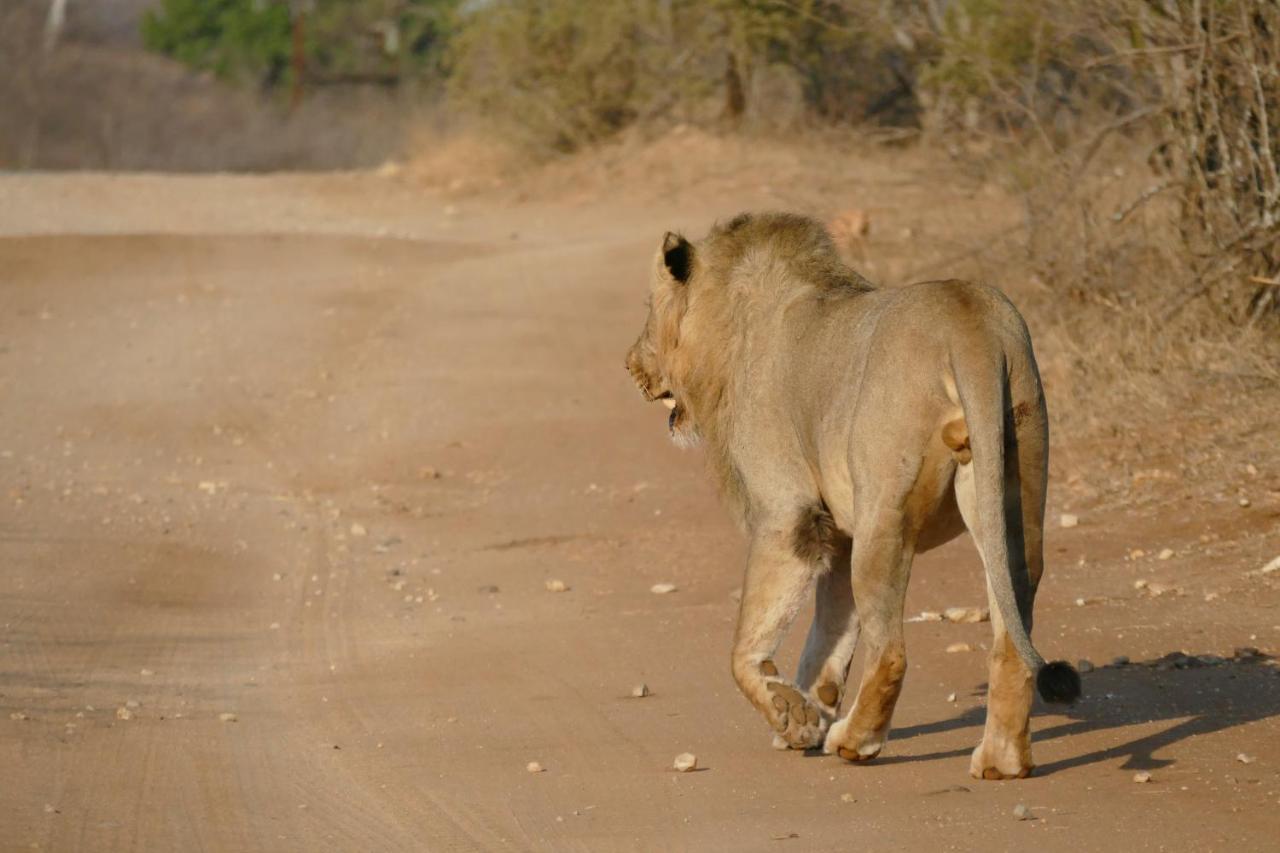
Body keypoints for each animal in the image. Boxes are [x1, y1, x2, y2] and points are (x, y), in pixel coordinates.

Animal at [624, 211, 1075, 778]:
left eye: (649, 308)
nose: (629, 365)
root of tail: (971, 325)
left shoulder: (787, 512)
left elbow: (745, 645)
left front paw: (791, 715)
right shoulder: (835, 534)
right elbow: (827, 639)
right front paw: (806, 713)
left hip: (884, 514)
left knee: (891, 651)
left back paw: (855, 742)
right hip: (1012, 489)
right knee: (1012, 632)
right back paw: (1002, 761)